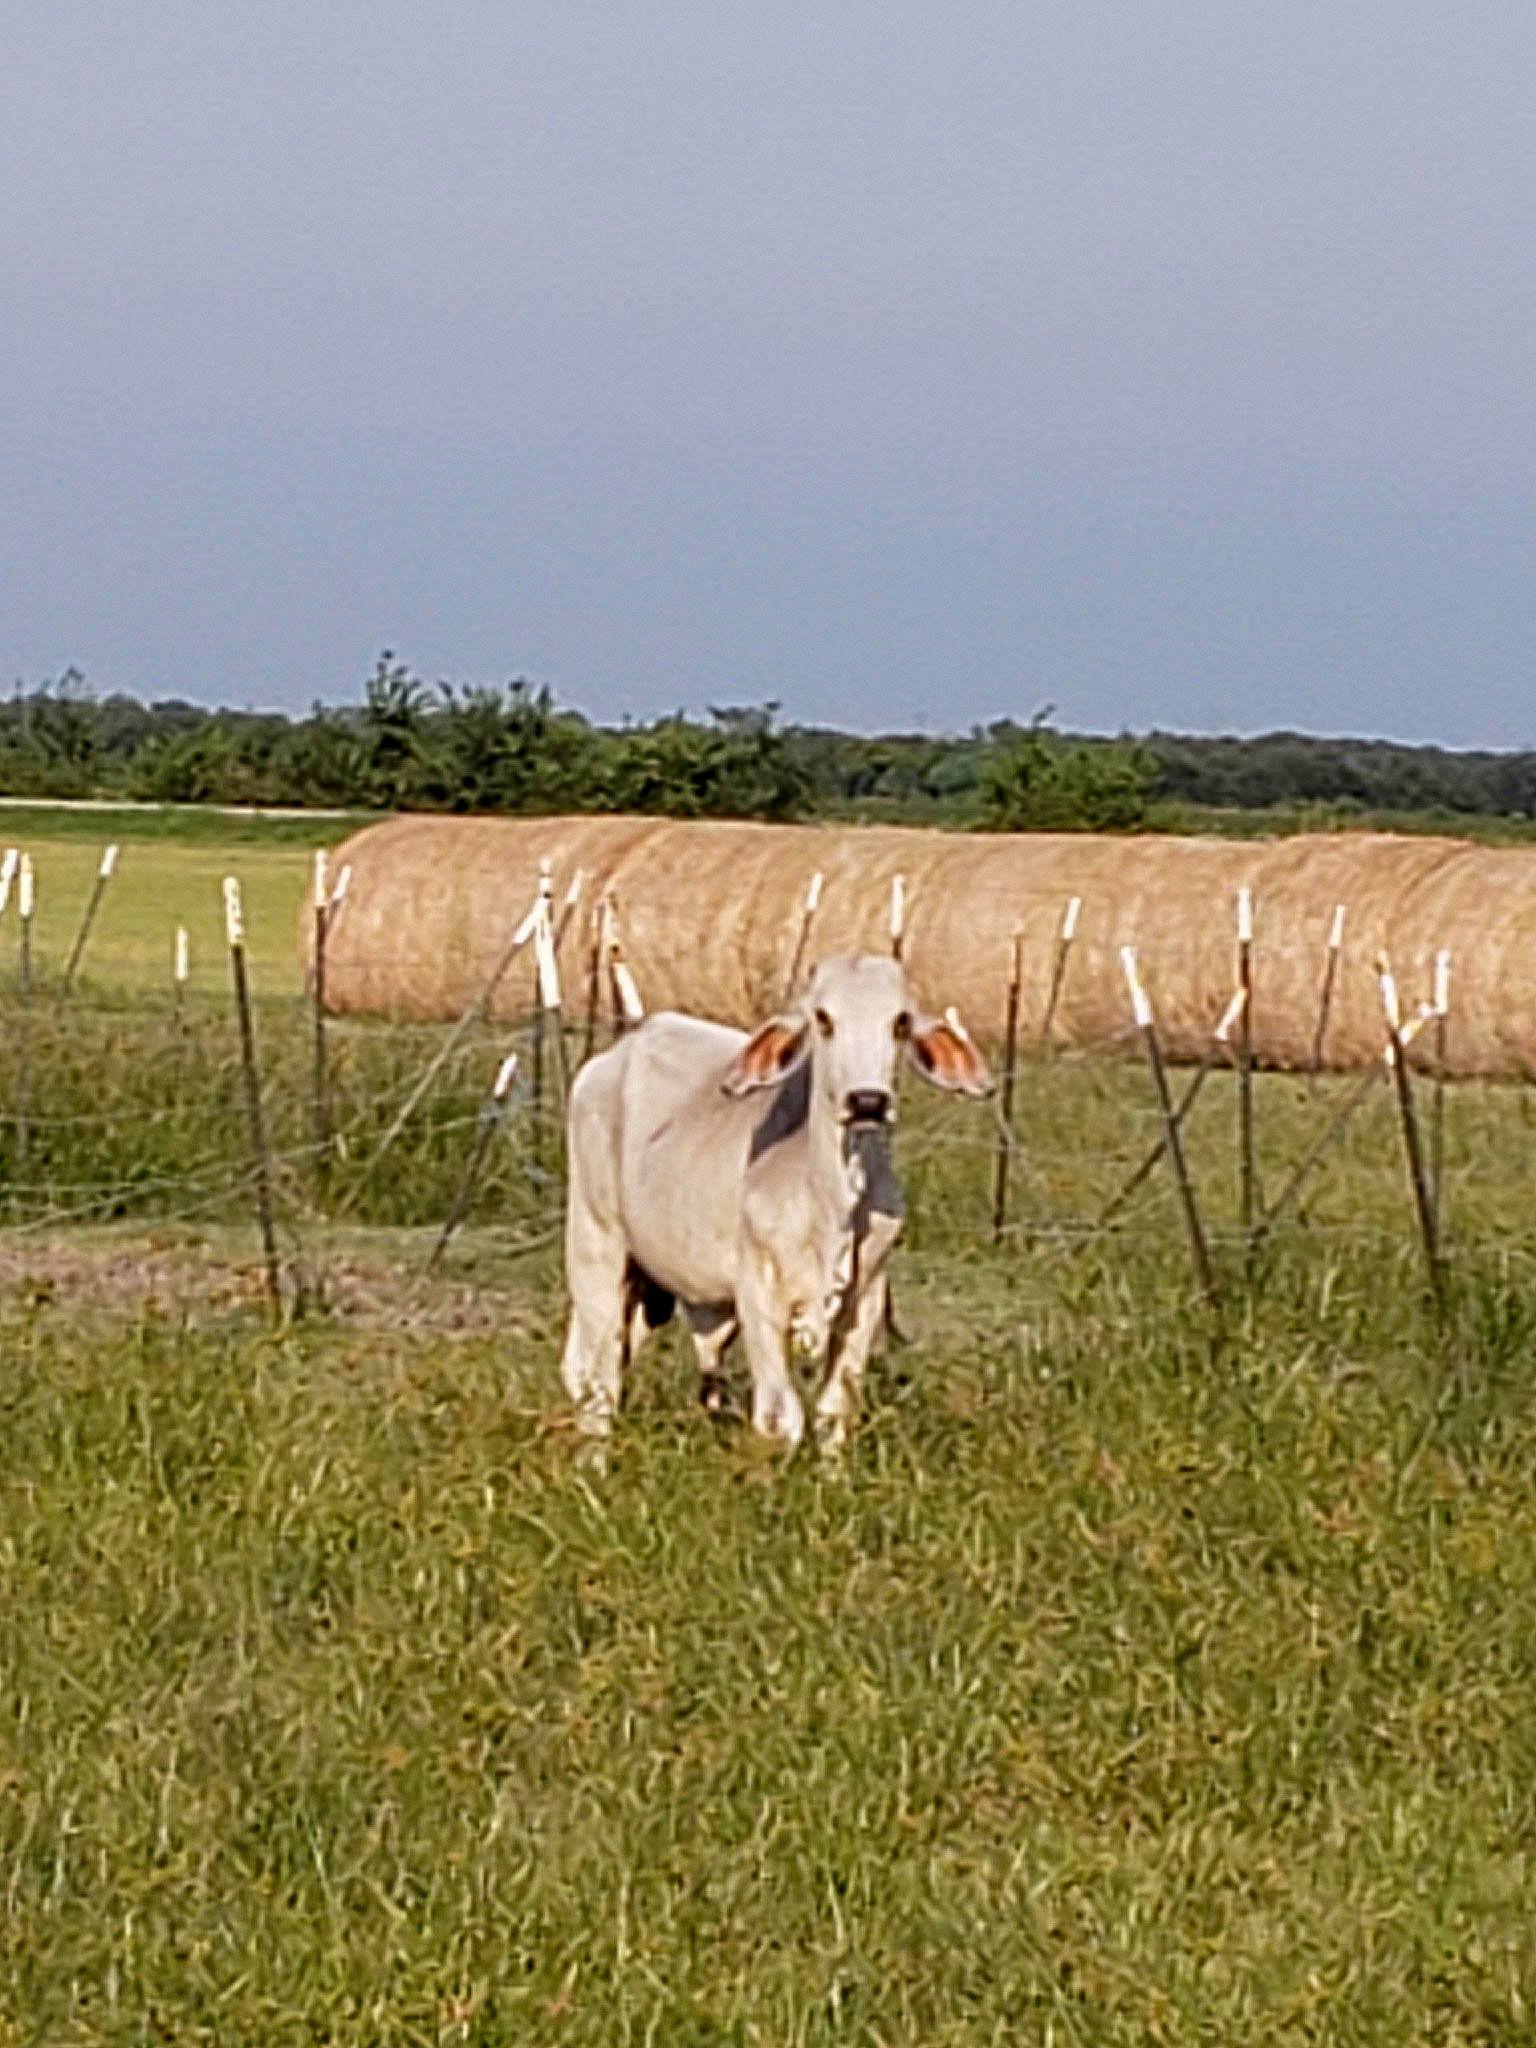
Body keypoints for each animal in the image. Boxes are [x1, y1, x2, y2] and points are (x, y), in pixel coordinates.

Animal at [559, 953, 992, 1453]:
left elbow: (834, 1413)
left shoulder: (865, 1298)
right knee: (597, 1381)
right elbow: (780, 1417)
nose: (867, 1101)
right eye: (823, 1019)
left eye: (900, 1021)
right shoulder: (758, 1295)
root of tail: (615, 1054)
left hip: (649, 1285)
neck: (831, 1204)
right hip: (596, 1250)